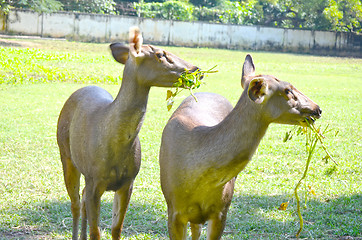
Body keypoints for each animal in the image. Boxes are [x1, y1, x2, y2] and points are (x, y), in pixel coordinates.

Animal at [55, 26, 201, 240]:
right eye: (160, 54)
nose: (195, 69)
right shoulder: (94, 179)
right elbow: (96, 231)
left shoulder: (128, 181)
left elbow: (116, 227)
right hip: (65, 153)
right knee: (74, 202)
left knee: (80, 200)